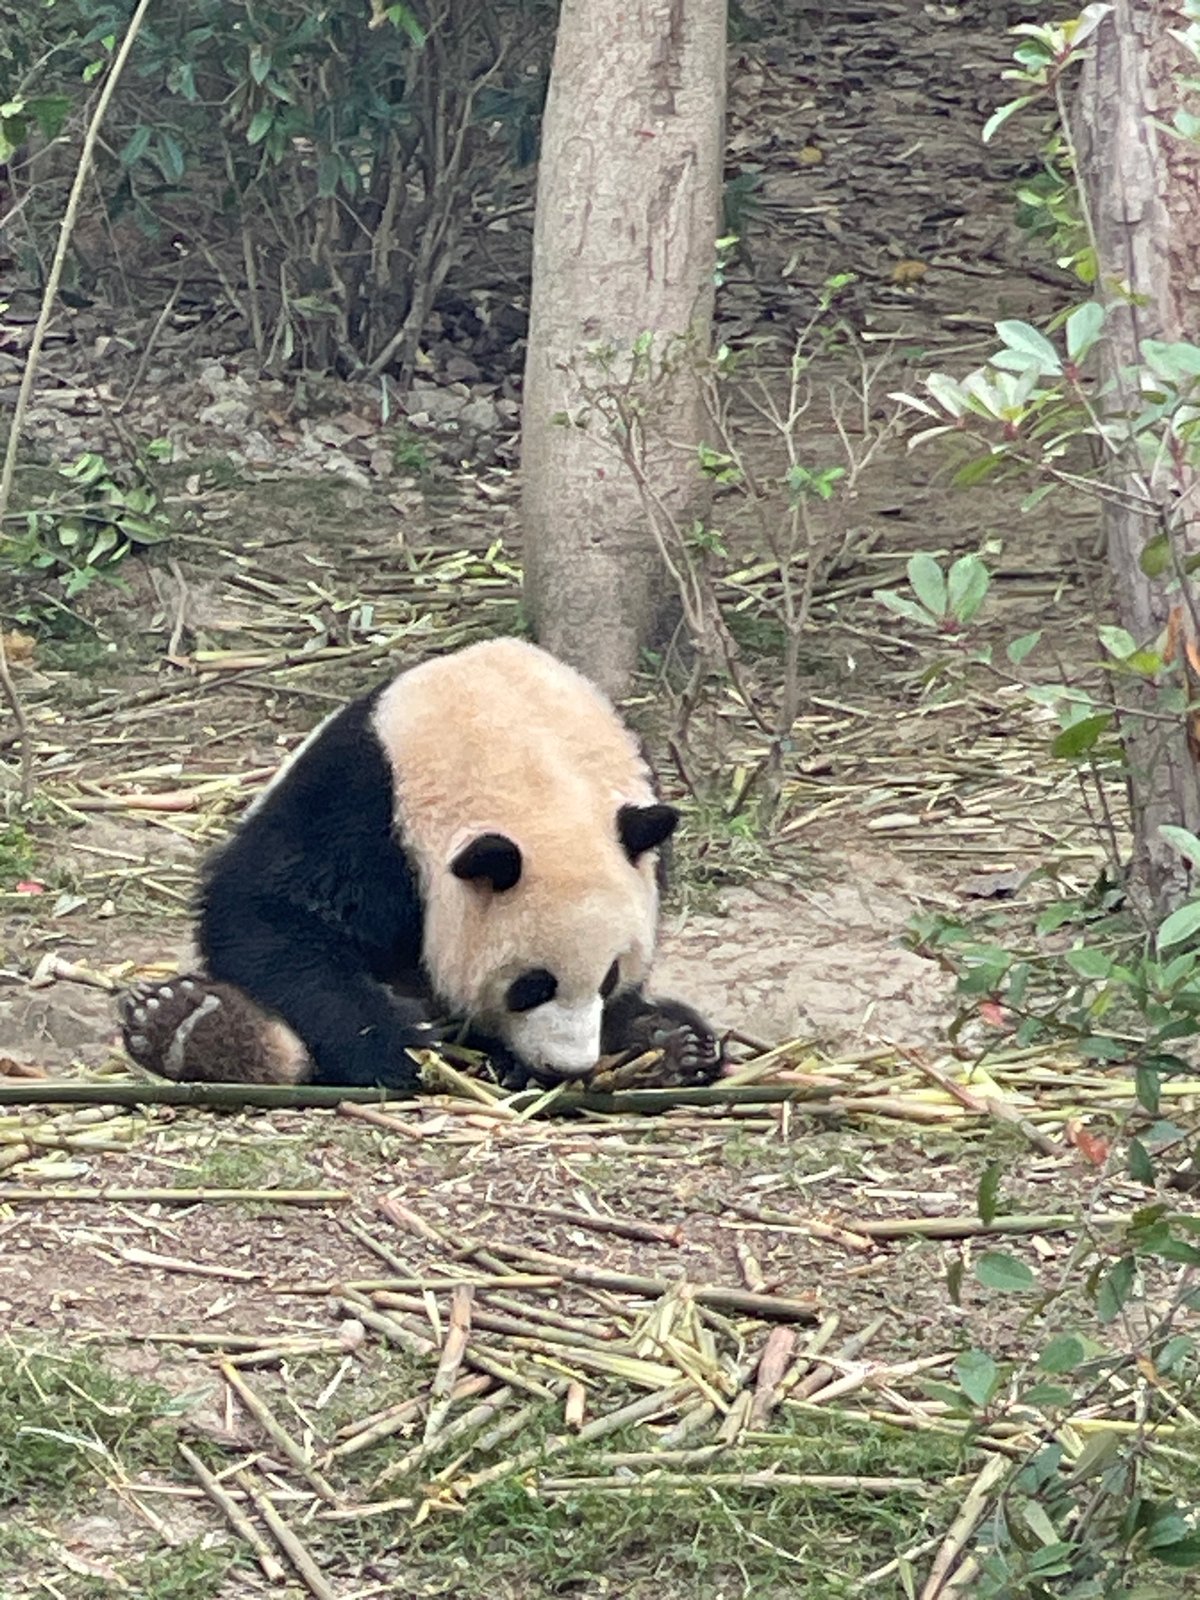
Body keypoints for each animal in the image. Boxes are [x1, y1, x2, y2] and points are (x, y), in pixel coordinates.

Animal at [119, 638, 721, 1091]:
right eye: (532, 985)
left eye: (609, 976)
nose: (565, 1065)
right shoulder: (363, 802)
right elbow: (272, 914)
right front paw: (407, 1046)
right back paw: (193, 1025)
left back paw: (674, 1044)